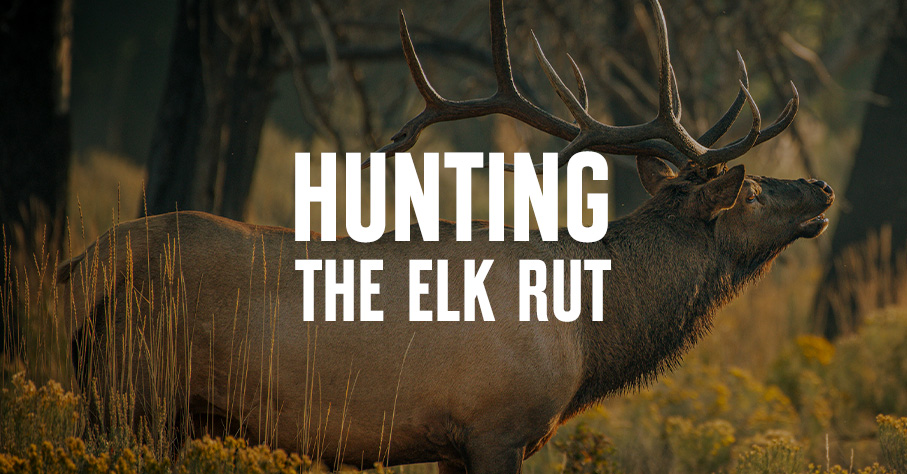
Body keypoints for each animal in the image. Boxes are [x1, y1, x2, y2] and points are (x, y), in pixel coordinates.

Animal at [59, 0, 834, 472]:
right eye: (752, 189)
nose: (820, 188)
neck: (589, 335)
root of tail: (77, 268)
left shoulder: (452, 443)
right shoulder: (497, 427)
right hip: (134, 392)